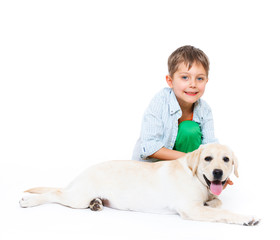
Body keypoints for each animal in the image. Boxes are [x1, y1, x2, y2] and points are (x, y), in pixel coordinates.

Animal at [19, 143, 260, 226]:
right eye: (208, 158)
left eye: (226, 159)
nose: (218, 173)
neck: (197, 179)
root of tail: (83, 172)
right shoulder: (191, 210)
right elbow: (224, 211)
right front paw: (247, 217)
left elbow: (217, 202)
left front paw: (212, 202)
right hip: (76, 197)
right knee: (54, 193)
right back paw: (28, 200)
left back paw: (96, 203)